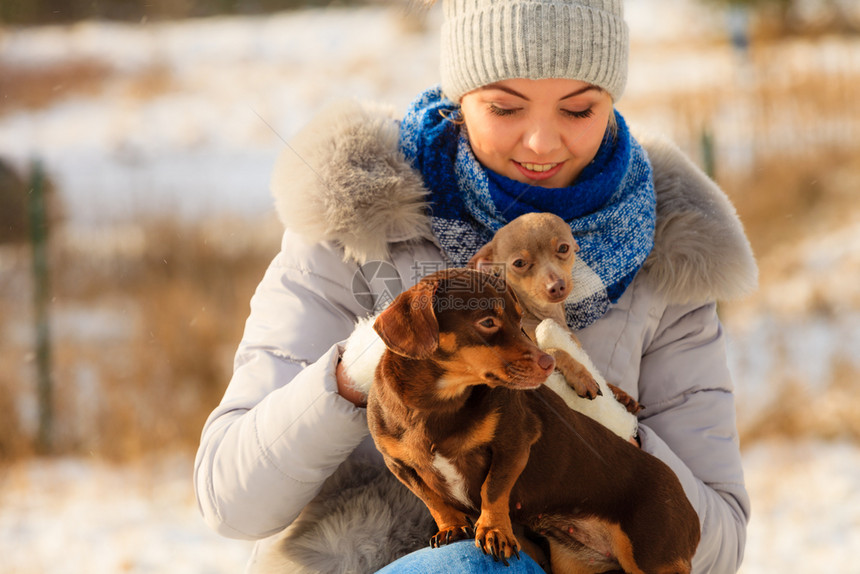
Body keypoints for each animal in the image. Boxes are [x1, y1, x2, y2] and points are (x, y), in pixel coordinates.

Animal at [368, 270, 700, 574]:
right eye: (487, 322)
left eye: (520, 321)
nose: (550, 363)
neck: (437, 404)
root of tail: (691, 511)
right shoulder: (398, 465)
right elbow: (432, 498)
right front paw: (450, 527)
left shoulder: (514, 443)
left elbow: (492, 489)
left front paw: (494, 531)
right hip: (574, 562)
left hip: (652, 558)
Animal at [474, 214, 640, 416]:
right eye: (519, 263)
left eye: (563, 248)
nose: (556, 286)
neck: (542, 314)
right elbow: (556, 351)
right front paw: (582, 376)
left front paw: (619, 394)